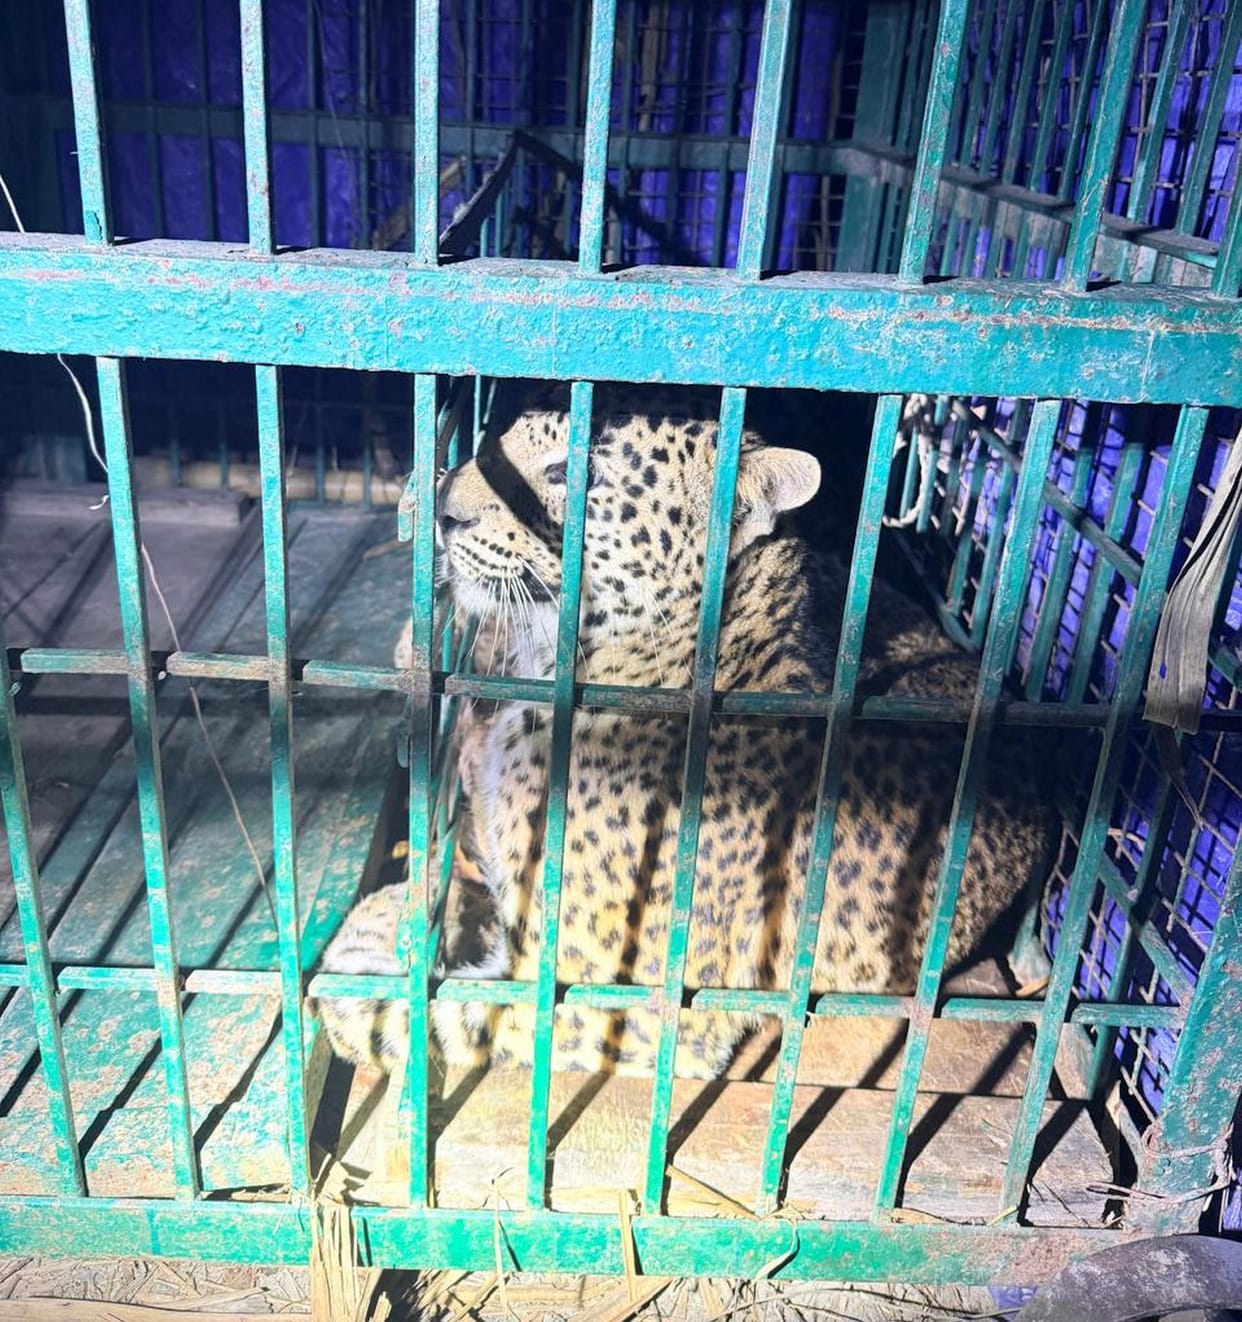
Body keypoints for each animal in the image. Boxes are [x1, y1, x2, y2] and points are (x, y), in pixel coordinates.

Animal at [317, 384, 1052, 1080]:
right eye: (501, 438)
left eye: (572, 473)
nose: (444, 507)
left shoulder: (615, 1003)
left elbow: (427, 1013)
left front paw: (362, 947)